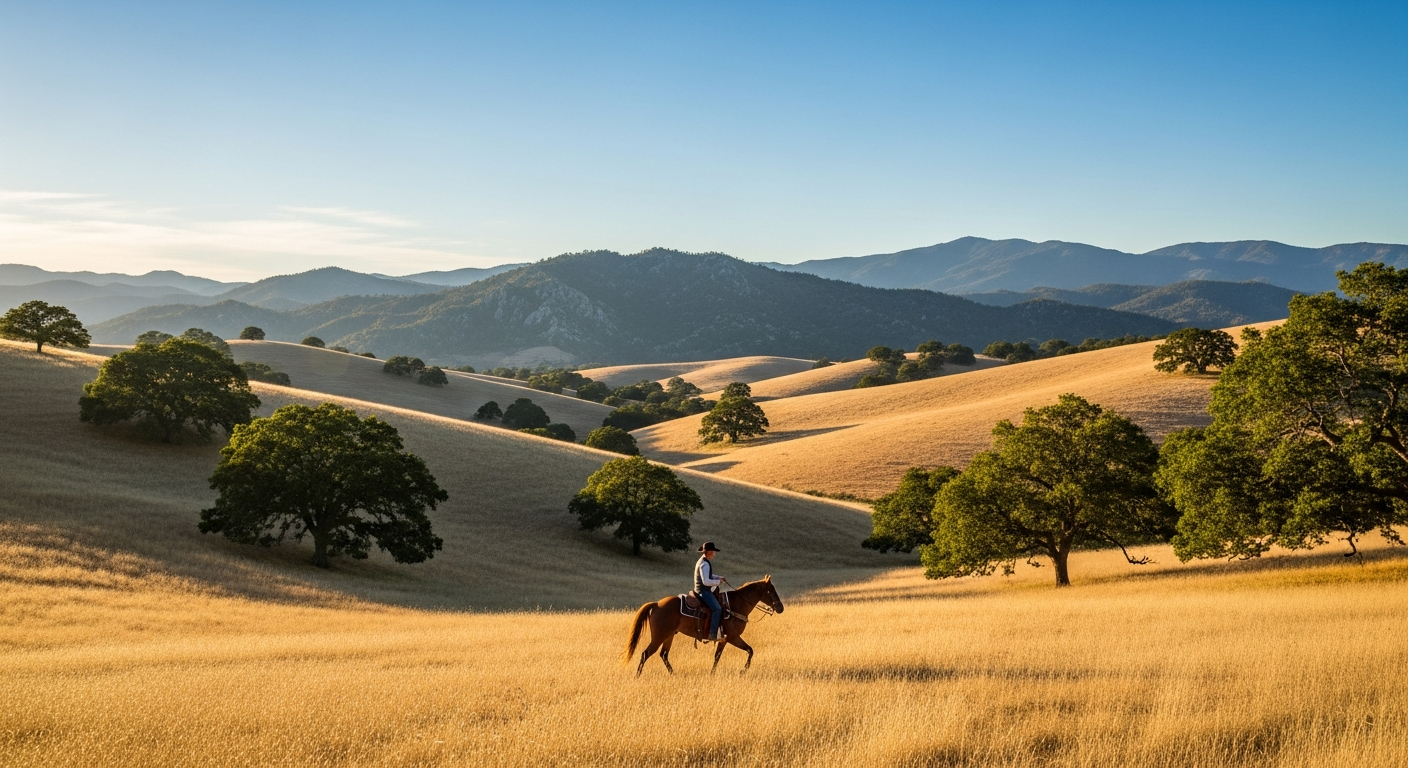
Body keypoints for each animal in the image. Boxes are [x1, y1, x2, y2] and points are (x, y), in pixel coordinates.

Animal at [622, 576, 785, 676]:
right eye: (770, 590)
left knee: (664, 654)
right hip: (659, 636)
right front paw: (743, 671)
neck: (736, 605)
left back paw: (674, 674)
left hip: (669, 636)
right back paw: (637, 676)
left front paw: (712, 673)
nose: (780, 608)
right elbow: (750, 650)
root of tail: (656, 604)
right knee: (646, 654)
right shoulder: (733, 637)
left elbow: (717, 656)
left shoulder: (724, 639)